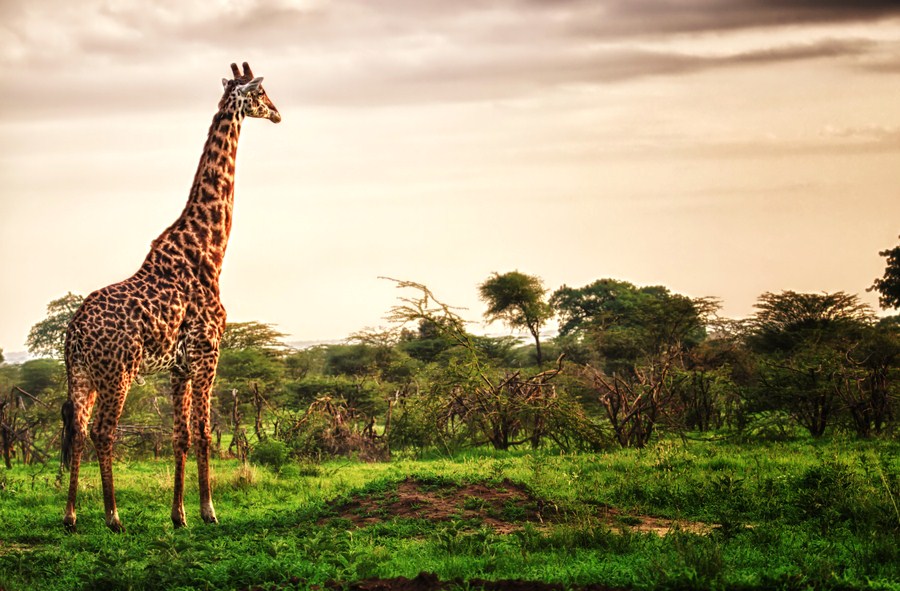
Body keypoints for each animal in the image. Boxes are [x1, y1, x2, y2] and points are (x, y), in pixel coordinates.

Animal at [61, 62, 280, 536]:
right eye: (261, 94)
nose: (277, 114)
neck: (208, 251)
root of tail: (74, 333)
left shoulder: (178, 366)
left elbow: (180, 434)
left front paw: (178, 515)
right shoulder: (208, 353)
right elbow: (203, 431)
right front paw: (209, 511)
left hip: (82, 375)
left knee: (79, 431)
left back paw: (70, 517)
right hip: (118, 372)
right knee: (104, 432)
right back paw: (113, 516)